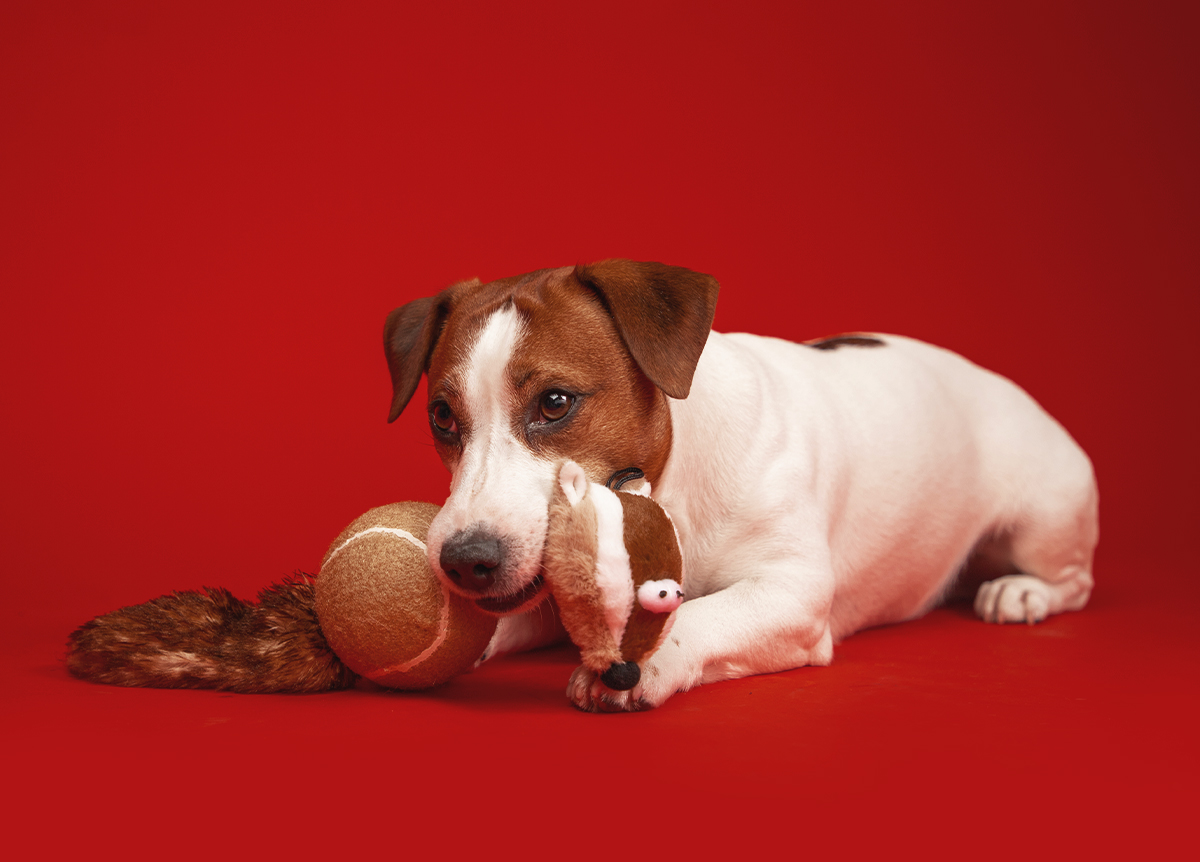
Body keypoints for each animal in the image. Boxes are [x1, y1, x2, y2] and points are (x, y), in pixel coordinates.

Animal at [384, 258, 1099, 715]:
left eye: (555, 403)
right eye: (441, 417)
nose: (464, 561)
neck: (668, 488)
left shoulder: (791, 593)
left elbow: (699, 615)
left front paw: (650, 661)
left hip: (1043, 518)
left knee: (1073, 581)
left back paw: (1020, 592)